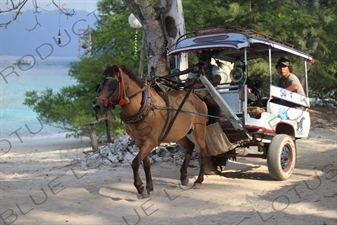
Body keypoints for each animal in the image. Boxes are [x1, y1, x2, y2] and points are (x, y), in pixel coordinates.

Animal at [92, 64, 207, 198]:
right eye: (100, 85)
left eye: (112, 84)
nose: (97, 106)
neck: (143, 107)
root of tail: (198, 96)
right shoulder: (139, 141)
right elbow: (146, 164)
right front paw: (149, 187)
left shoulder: (151, 141)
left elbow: (135, 162)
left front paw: (140, 188)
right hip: (178, 134)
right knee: (190, 146)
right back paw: (183, 176)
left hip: (199, 130)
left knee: (203, 152)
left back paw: (198, 181)